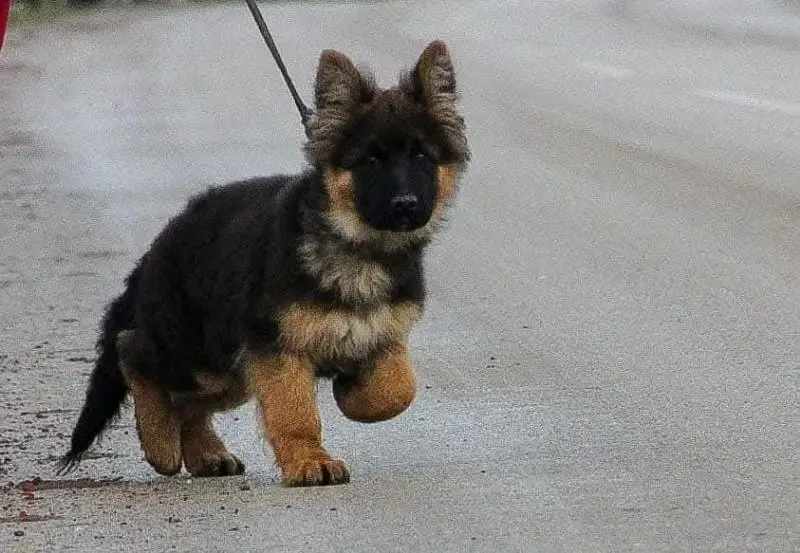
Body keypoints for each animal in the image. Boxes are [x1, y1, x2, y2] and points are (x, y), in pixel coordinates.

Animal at [59, 41, 468, 486]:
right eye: (371, 160)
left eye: (422, 156)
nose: (406, 206)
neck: (355, 247)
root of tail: (159, 245)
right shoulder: (276, 347)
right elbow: (295, 411)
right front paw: (310, 461)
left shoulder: (385, 337)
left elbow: (398, 389)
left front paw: (352, 392)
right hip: (198, 352)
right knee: (132, 350)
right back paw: (160, 443)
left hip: (232, 369)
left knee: (187, 402)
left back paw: (206, 454)